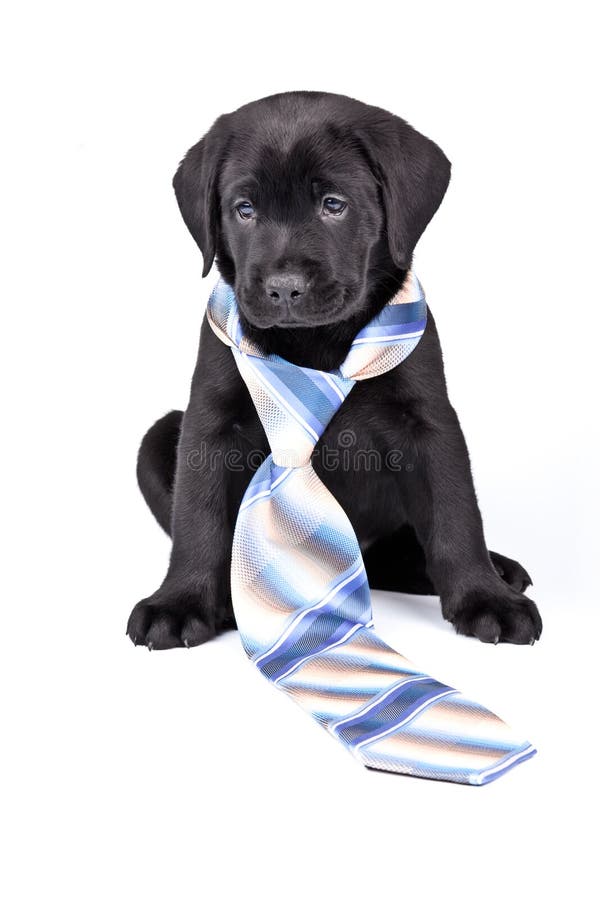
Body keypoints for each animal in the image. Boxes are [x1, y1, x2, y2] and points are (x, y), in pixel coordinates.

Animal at [127, 91, 544, 652]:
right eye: (244, 209)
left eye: (333, 204)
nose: (283, 288)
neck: (314, 343)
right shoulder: (210, 420)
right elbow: (199, 516)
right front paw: (180, 602)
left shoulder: (428, 421)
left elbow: (455, 512)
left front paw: (485, 596)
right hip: (158, 437)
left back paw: (493, 571)